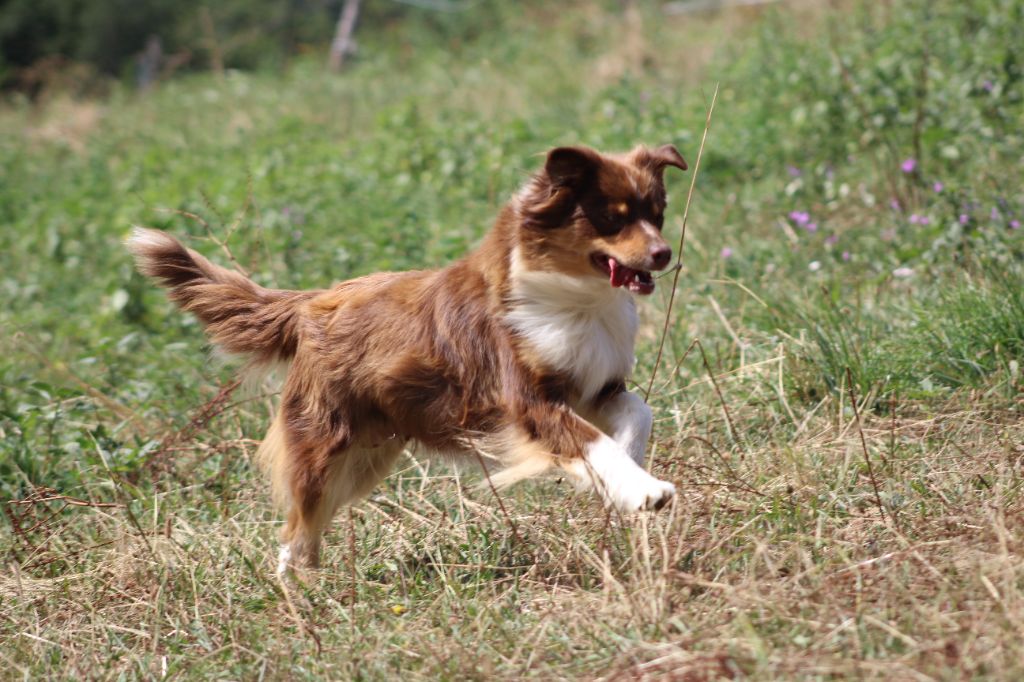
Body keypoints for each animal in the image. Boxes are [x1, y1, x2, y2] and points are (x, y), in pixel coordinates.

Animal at [128, 142, 688, 569]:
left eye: (657, 215)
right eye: (611, 219)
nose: (663, 254)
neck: (577, 298)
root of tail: (312, 302)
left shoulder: (594, 384)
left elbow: (635, 413)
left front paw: (627, 468)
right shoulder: (529, 401)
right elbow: (590, 441)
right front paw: (643, 490)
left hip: (368, 455)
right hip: (324, 446)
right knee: (297, 526)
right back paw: (296, 597)